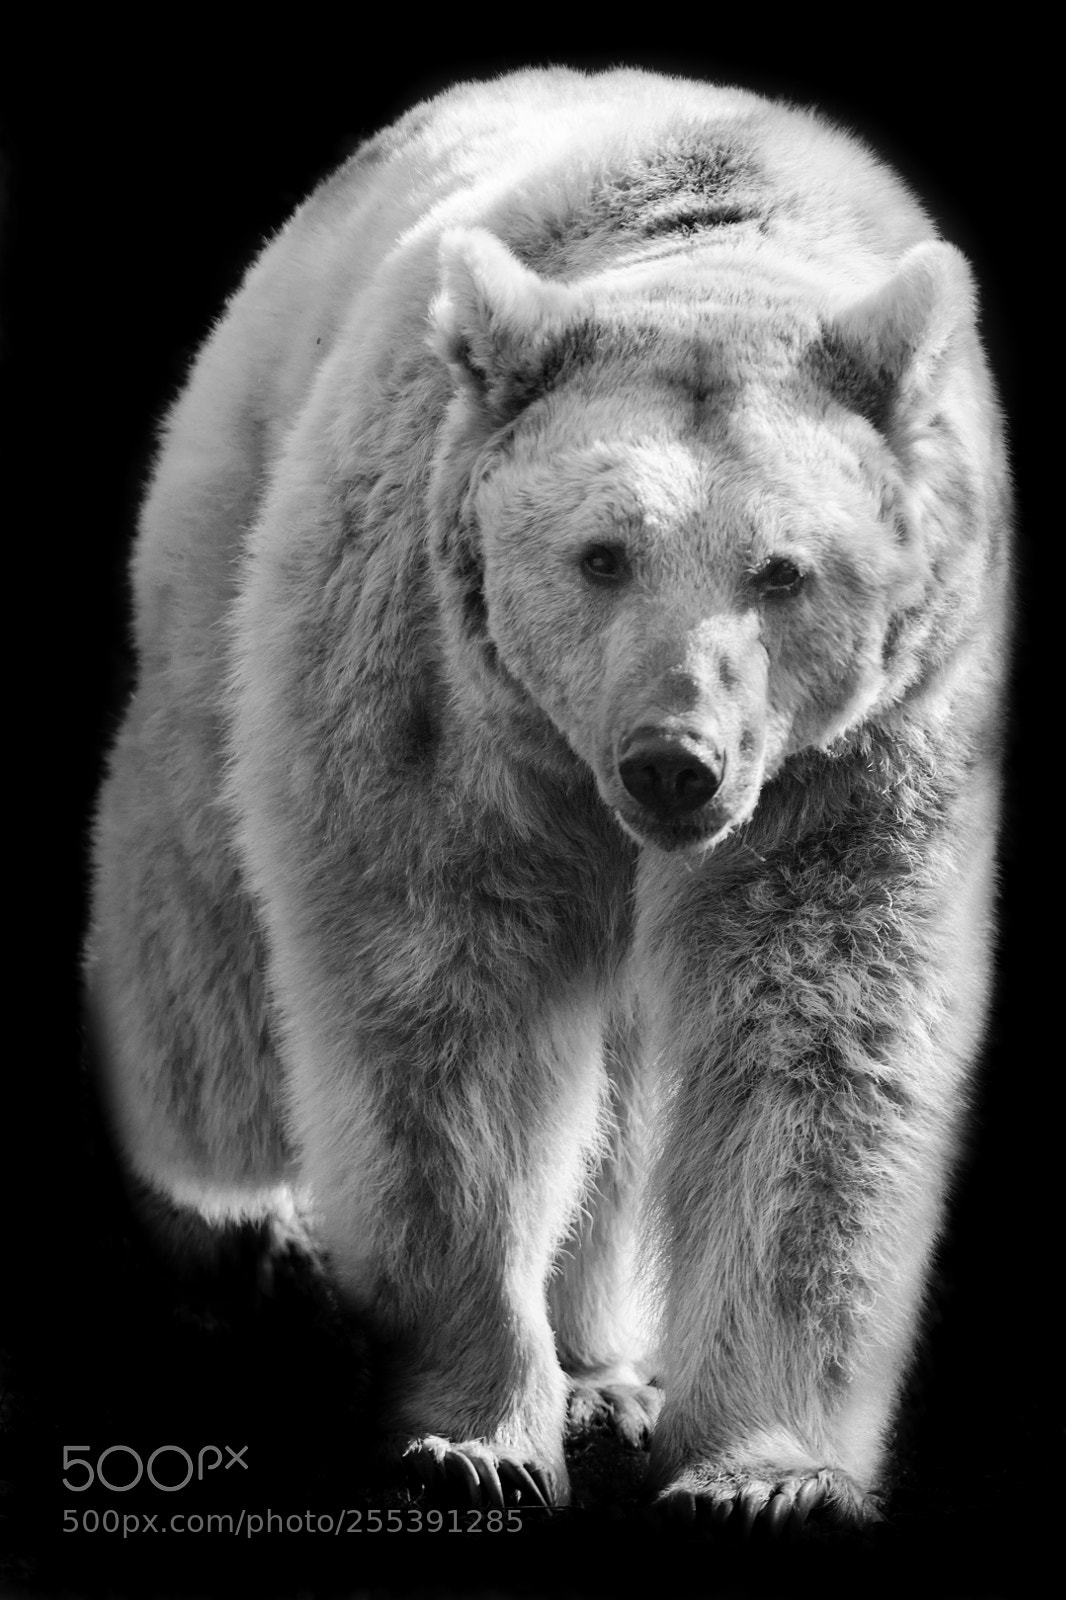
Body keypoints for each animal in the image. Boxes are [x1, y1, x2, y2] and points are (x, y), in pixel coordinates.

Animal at [86, 66, 1010, 1530]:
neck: (714, 256)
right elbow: (446, 1007)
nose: (672, 759)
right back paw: (230, 1218)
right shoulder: (439, 688)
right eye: (601, 551)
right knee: (201, 922)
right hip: (224, 551)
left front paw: (763, 1469)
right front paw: (472, 1432)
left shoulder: (862, 752)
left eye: (782, 569)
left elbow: (813, 1038)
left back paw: (600, 1372)